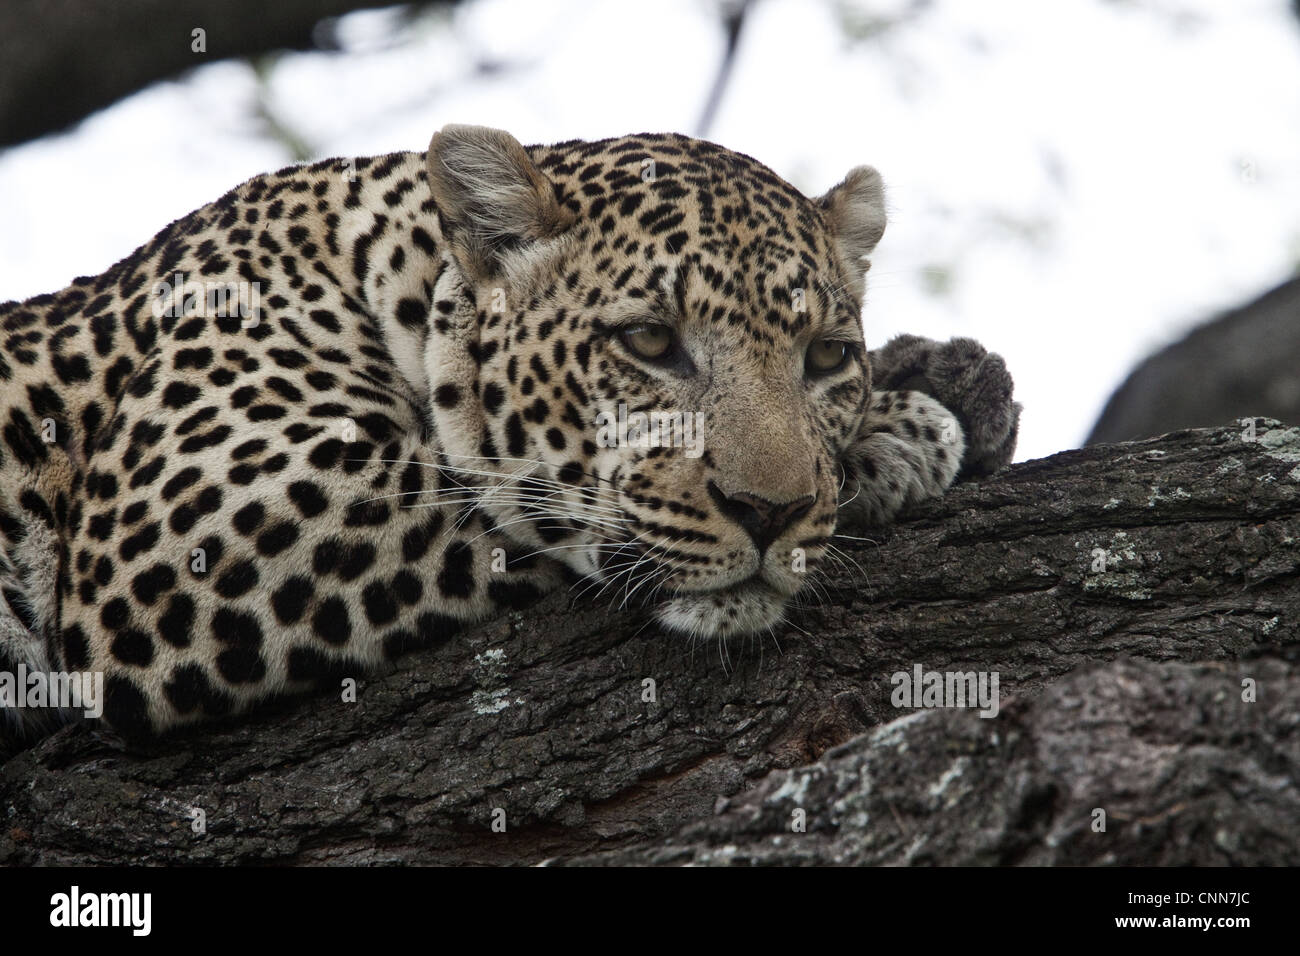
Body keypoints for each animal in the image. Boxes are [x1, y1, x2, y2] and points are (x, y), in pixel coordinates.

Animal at [0, 124, 1019, 746]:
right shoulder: (197, 522)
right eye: (650, 342)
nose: (769, 513)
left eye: (826, 356)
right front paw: (903, 430)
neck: (397, 273)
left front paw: (934, 386)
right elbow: (509, 500)